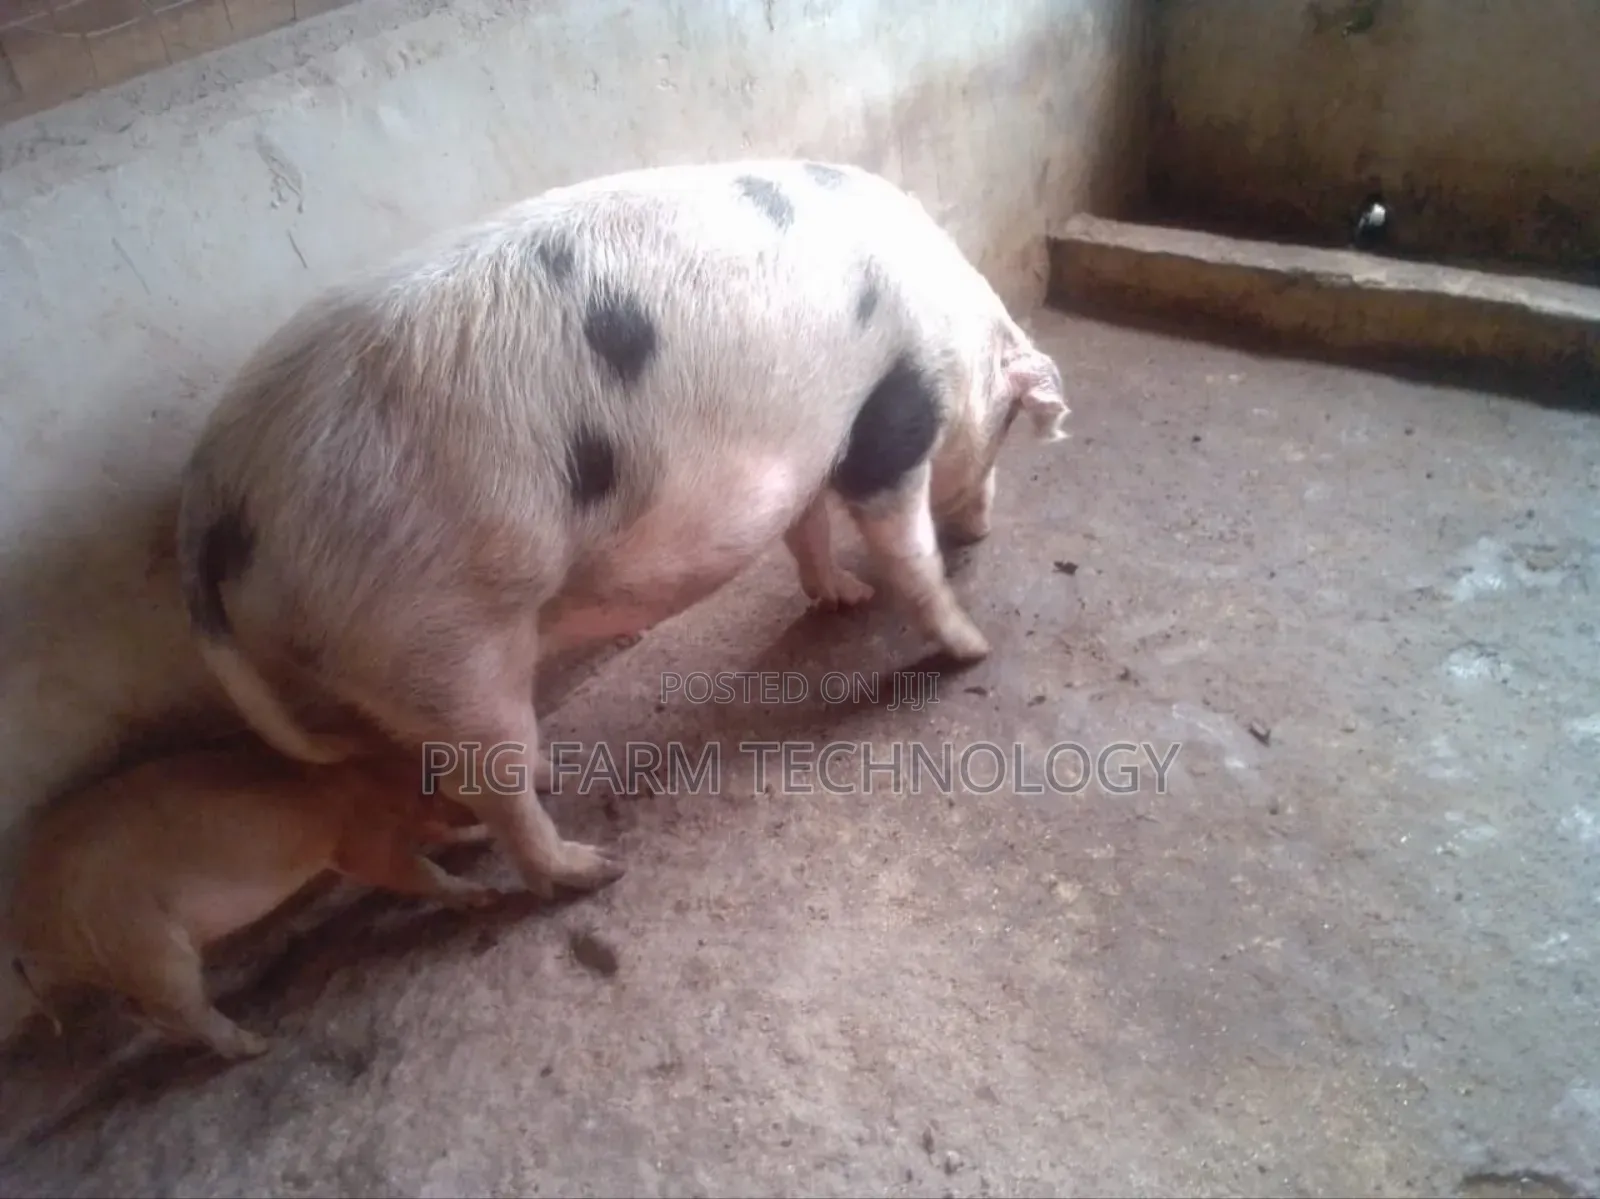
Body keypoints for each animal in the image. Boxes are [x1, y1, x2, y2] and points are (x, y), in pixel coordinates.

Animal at [6, 743, 498, 1060]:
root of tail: (25, 919)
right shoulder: (358, 841)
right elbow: (411, 869)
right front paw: (483, 895)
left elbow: (440, 839)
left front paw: (481, 838)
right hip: (143, 943)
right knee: (182, 1006)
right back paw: (258, 1045)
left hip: (117, 959)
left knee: (138, 1010)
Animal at [174, 159, 1071, 901]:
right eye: (1007, 423)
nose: (982, 528)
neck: (955, 333)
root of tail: (219, 490)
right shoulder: (889, 423)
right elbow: (904, 547)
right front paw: (972, 645)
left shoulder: (808, 444)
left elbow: (807, 529)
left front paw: (844, 597)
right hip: (434, 631)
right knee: (491, 778)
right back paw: (591, 870)